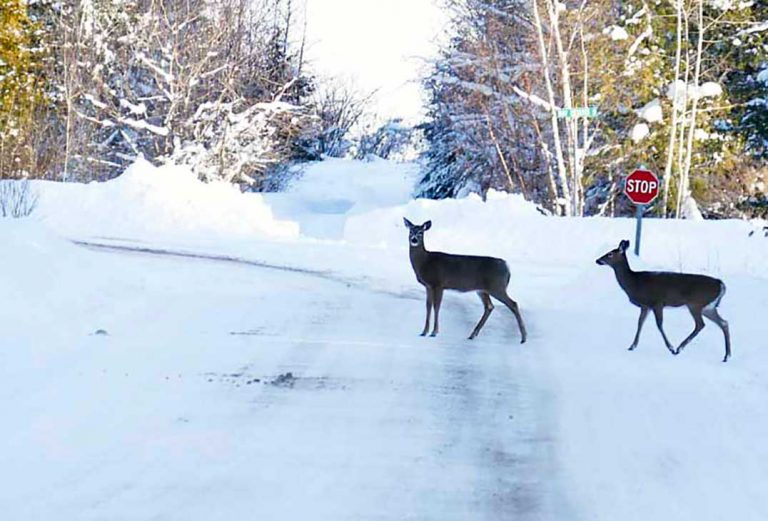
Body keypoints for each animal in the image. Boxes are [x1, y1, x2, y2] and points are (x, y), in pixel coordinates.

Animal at [596, 240, 731, 362]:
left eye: (610, 254)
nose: (597, 260)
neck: (634, 282)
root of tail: (721, 285)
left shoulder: (657, 302)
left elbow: (659, 324)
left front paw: (670, 347)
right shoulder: (645, 305)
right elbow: (640, 323)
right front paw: (632, 346)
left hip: (695, 304)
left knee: (701, 324)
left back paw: (679, 348)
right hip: (708, 307)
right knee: (724, 323)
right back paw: (726, 356)